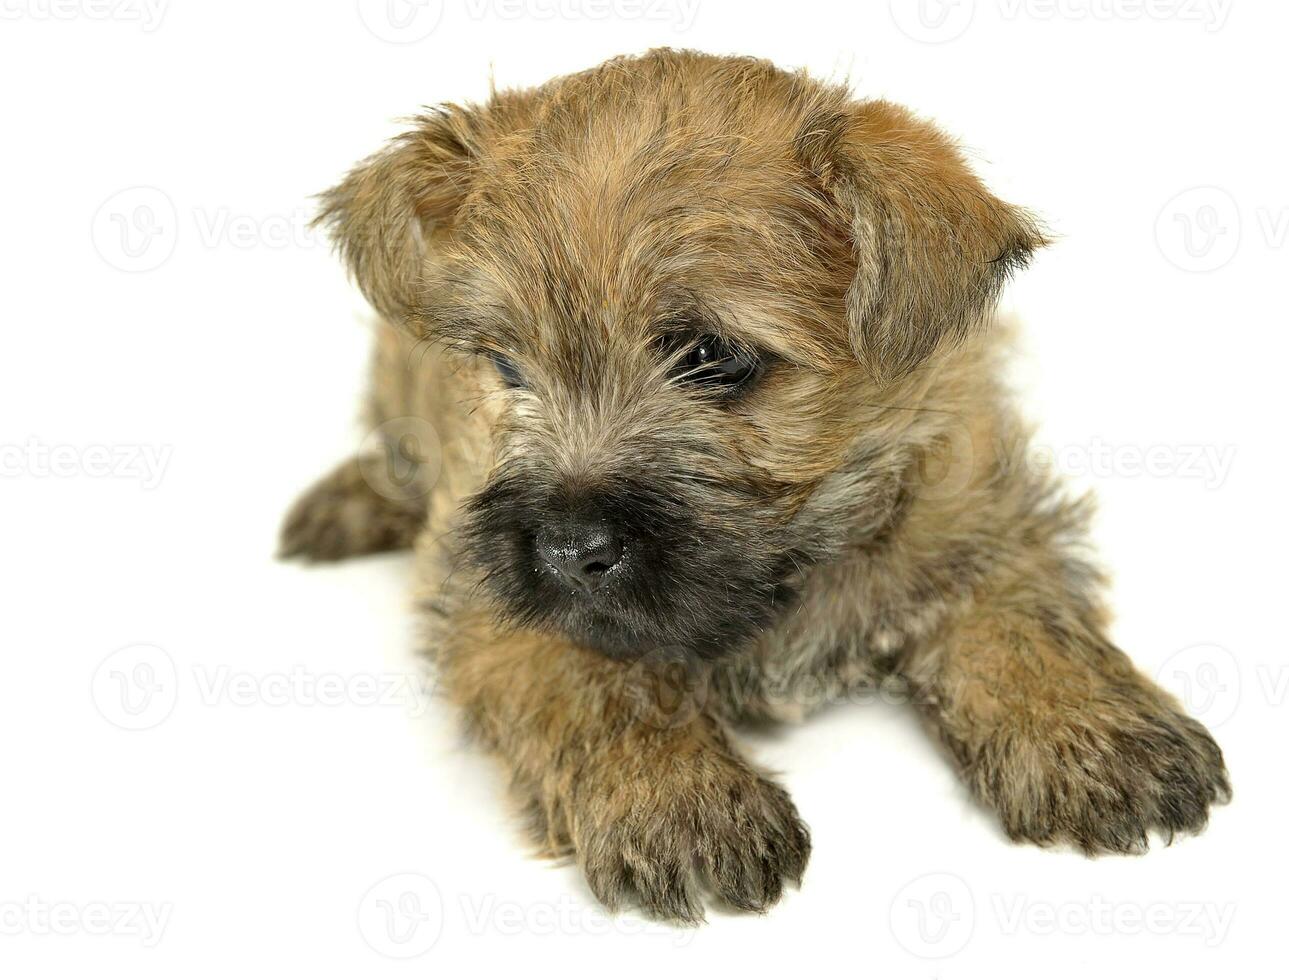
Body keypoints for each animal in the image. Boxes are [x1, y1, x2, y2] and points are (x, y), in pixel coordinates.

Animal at [279, 49, 1227, 923]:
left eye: (714, 357)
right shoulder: (492, 599)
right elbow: (594, 682)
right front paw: (679, 803)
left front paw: (1091, 734)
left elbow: (1020, 615)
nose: (568, 548)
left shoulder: (979, 501)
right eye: (506, 366)